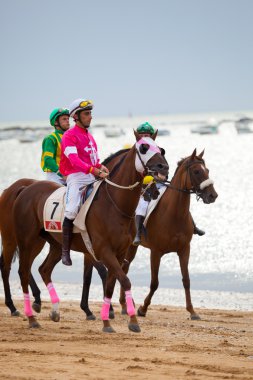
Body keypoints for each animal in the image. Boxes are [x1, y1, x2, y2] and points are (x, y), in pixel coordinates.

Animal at [9, 132, 169, 332]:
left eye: (161, 149)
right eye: (144, 148)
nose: (164, 167)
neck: (114, 204)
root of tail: (25, 189)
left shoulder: (119, 252)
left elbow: (110, 284)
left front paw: (107, 321)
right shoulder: (103, 250)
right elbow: (123, 280)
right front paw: (132, 320)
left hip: (54, 243)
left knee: (44, 269)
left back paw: (54, 311)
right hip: (28, 241)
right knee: (23, 272)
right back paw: (31, 318)